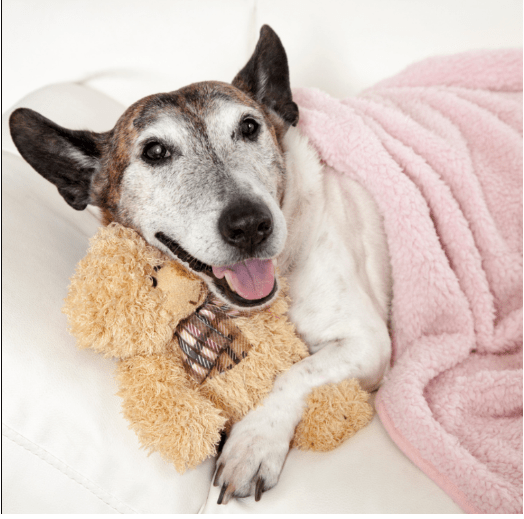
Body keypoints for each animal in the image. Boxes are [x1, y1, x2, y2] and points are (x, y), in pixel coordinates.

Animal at [10, 25, 390, 508]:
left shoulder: (369, 342)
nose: (250, 225)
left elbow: (296, 372)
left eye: (249, 127)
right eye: (154, 151)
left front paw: (254, 442)